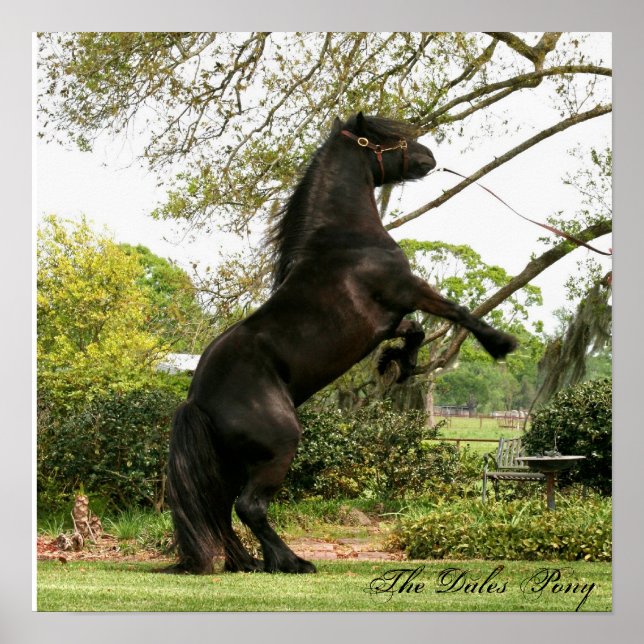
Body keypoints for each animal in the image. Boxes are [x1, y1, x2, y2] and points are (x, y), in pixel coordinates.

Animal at [166, 112, 517, 574]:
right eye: (388, 136)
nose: (428, 156)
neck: (347, 238)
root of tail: (196, 398)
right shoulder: (409, 290)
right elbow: (457, 311)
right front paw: (500, 343)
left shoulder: (389, 319)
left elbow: (415, 332)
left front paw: (397, 364)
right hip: (278, 448)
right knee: (250, 507)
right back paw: (291, 562)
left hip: (231, 463)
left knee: (223, 509)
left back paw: (253, 561)